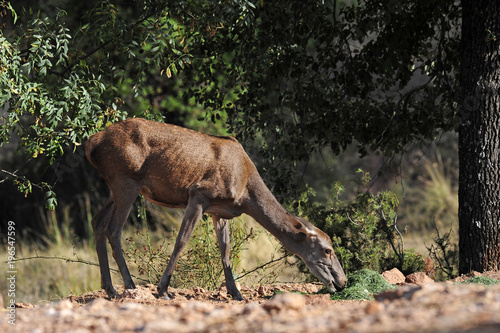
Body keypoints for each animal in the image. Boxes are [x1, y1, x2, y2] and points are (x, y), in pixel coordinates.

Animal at [86, 118, 346, 300]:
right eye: (328, 250)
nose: (342, 281)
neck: (244, 193)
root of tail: (91, 143)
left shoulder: (220, 211)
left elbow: (226, 250)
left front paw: (236, 293)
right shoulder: (199, 194)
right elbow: (182, 240)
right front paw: (163, 289)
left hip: (115, 186)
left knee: (98, 223)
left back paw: (110, 288)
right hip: (126, 180)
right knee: (114, 229)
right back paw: (129, 286)